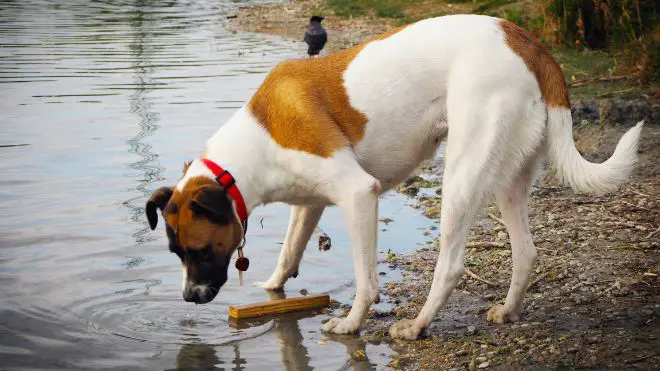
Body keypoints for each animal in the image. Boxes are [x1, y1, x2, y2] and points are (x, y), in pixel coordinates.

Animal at [146, 14, 644, 340]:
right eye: (176, 253)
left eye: (198, 250)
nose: (188, 299)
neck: (250, 150)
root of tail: (526, 41)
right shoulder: (309, 205)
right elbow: (288, 254)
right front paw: (271, 289)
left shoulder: (357, 194)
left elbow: (366, 280)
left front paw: (352, 322)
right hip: (509, 179)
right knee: (525, 252)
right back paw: (507, 311)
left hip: (462, 178)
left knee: (451, 264)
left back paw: (419, 324)